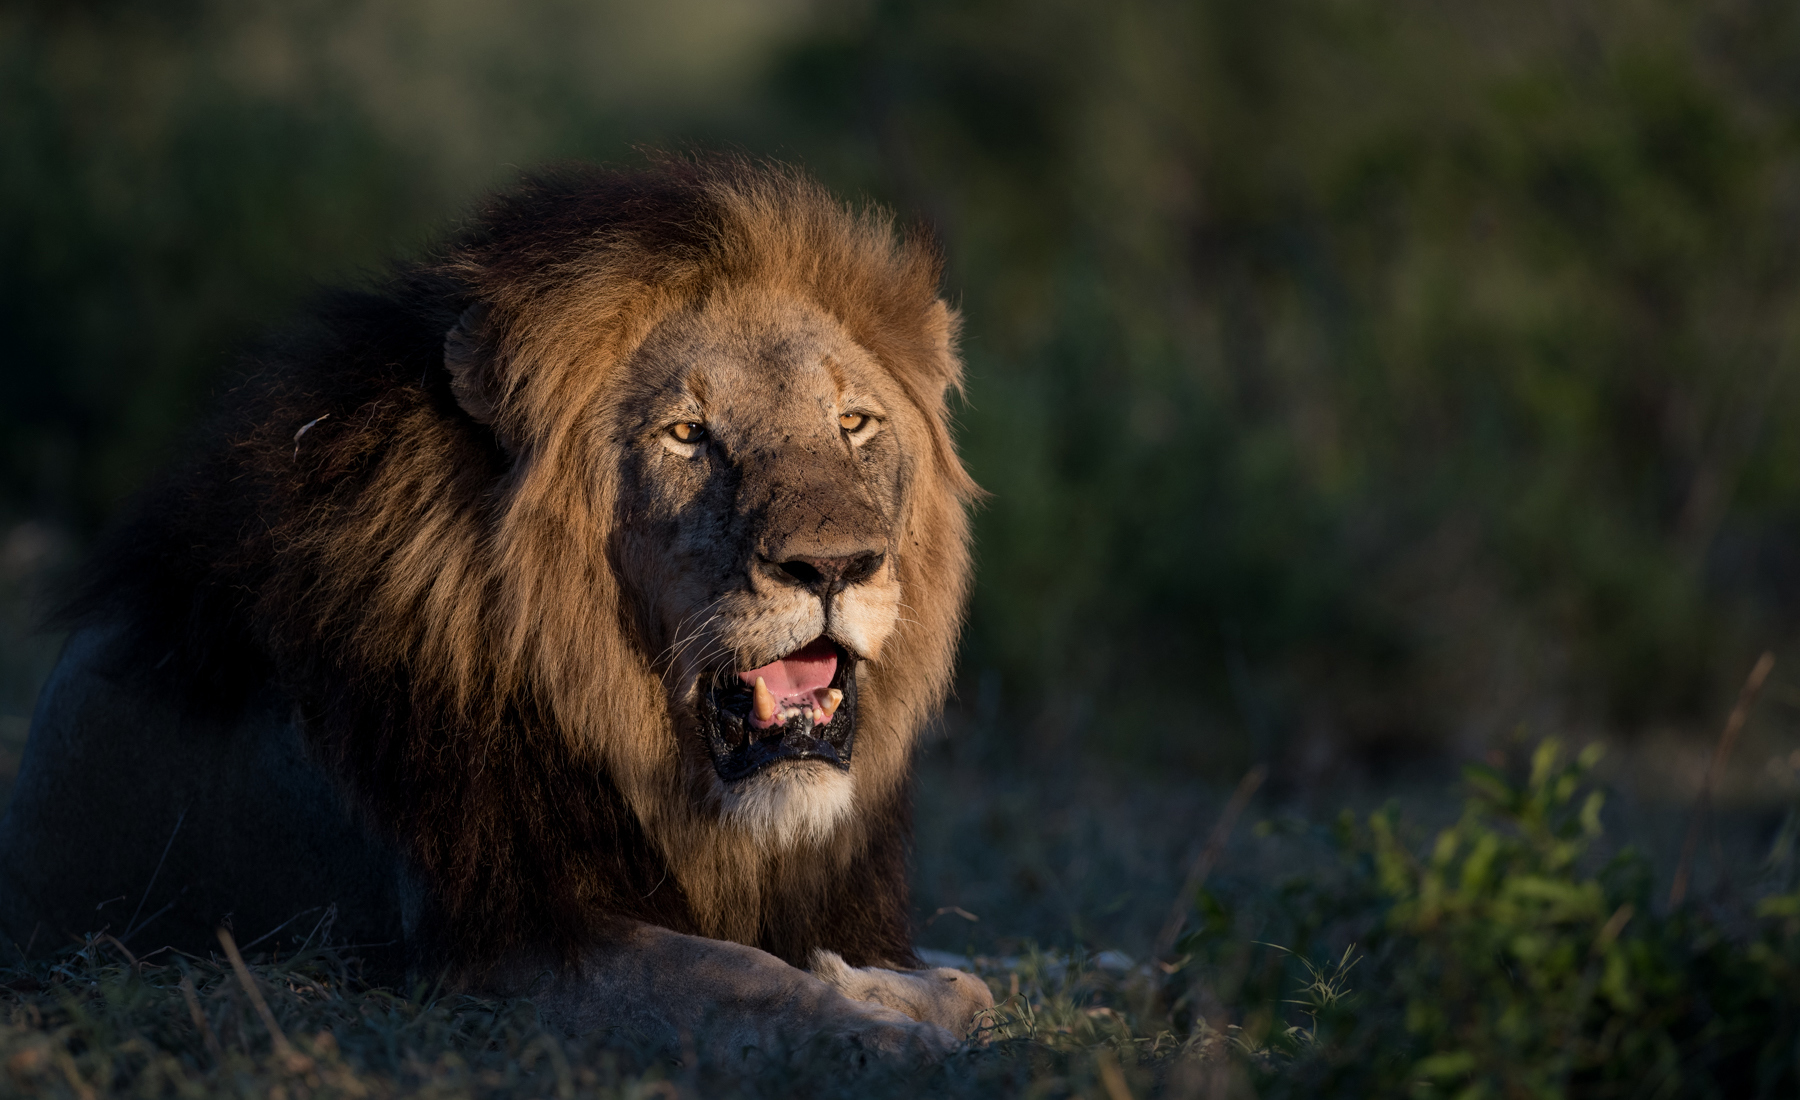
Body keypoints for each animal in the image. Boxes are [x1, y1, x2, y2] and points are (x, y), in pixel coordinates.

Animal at [0, 158, 994, 1060]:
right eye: (687, 434)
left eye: (853, 423)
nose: (833, 565)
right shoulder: (497, 948)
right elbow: (740, 977)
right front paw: (881, 1031)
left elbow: (969, 981)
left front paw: (893, 984)